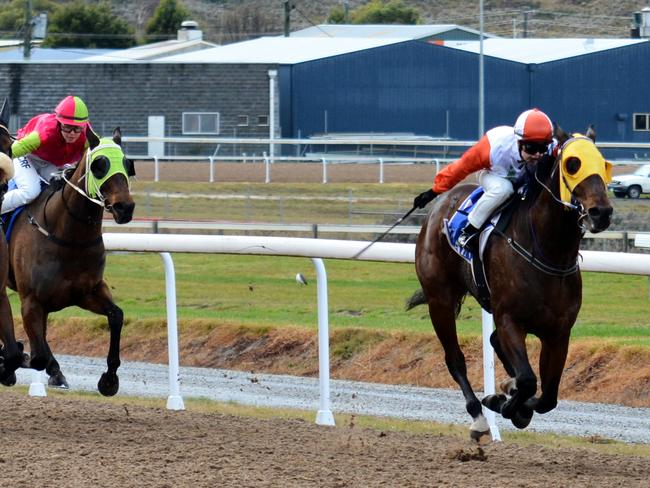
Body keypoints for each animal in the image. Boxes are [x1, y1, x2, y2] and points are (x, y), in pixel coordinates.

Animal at [3, 124, 135, 394]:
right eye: (99, 165)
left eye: (128, 165)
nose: (125, 207)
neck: (67, 237)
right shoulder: (31, 300)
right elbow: (36, 356)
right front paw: (11, 362)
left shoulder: (87, 292)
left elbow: (116, 316)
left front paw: (109, 380)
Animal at [408, 125, 612, 438]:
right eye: (573, 164)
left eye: (603, 164)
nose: (602, 212)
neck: (548, 251)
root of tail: (439, 207)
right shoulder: (509, 320)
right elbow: (528, 380)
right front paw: (502, 401)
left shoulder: (558, 332)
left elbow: (548, 396)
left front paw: (513, 397)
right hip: (439, 299)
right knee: (454, 358)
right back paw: (478, 416)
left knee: (493, 342)